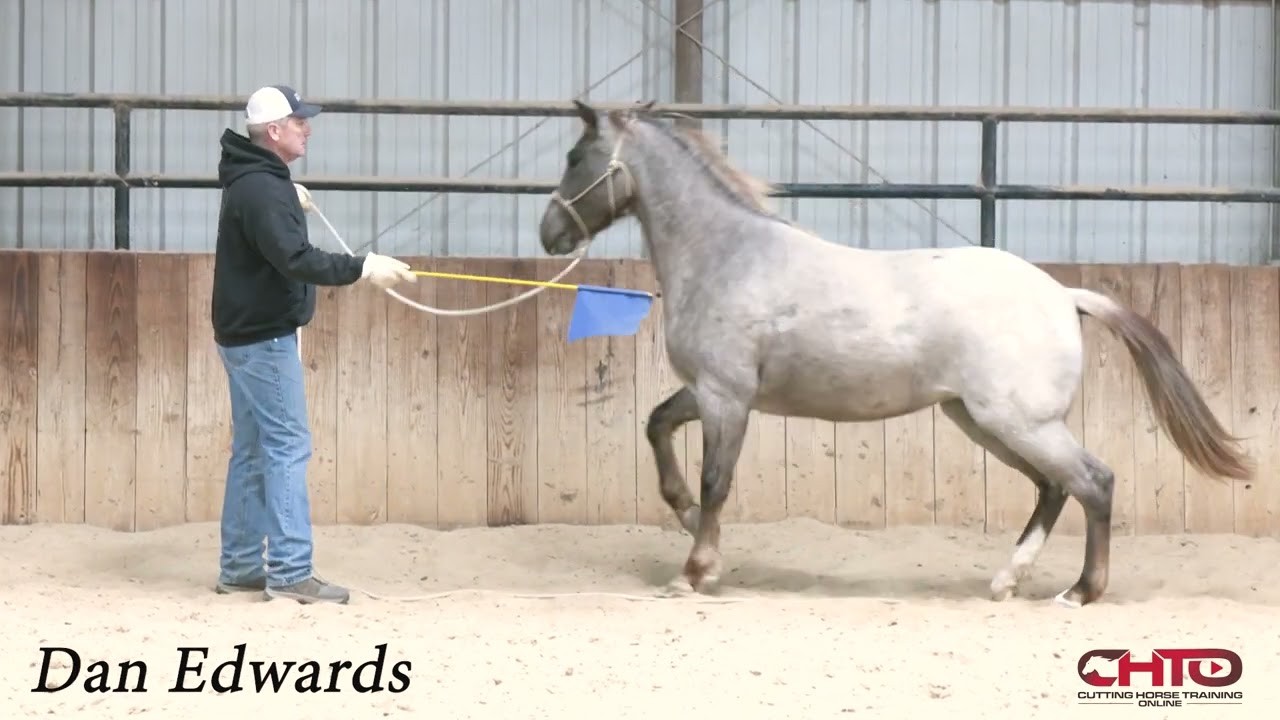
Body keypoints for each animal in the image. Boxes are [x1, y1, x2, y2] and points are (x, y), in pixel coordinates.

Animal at [536, 99, 1253, 608]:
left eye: (575, 155)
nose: (549, 233)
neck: (729, 256)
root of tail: (1062, 293)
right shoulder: (708, 392)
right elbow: (658, 426)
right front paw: (686, 519)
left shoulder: (726, 396)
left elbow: (717, 480)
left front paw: (695, 572)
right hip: (980, 420)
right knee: (1053, 487)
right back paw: (1008, 581)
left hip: (1016, 421)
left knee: (1093, 482)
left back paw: (1079, 592)